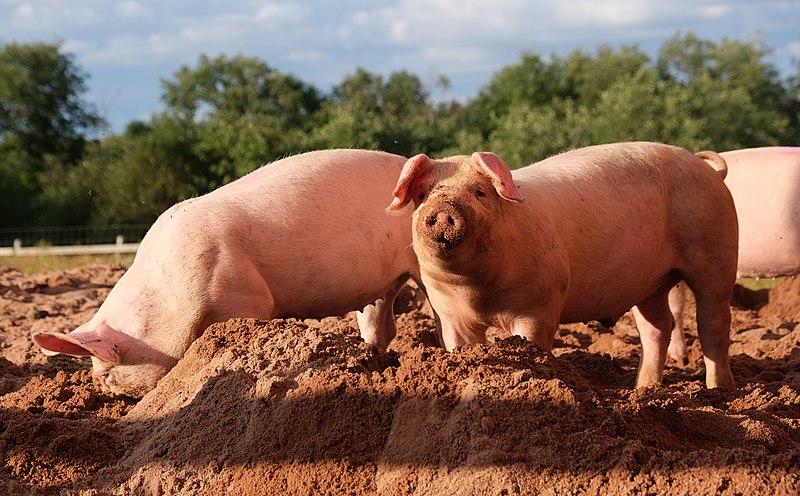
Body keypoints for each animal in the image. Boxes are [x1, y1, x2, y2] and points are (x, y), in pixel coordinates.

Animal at [32, 149, 418, 398]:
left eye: (108, 374)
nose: (100, 389)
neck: (166, 296)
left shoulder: (244, 297)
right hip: (382, 285)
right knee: (382, 324)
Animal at [388, 141, 736, 390]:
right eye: (423, 194)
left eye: (480, 192)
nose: (443, 210)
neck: (477, 292)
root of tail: (705, 167)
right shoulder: (447, 311)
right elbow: (461, 346)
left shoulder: (540, 303)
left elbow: (532, 344)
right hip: (651, 282)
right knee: (657, 327)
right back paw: (643, 389)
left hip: (716, 251)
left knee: (712, 324)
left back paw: (719, 391)